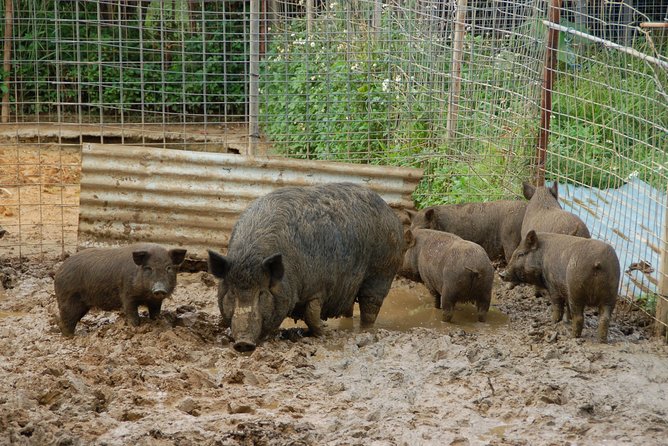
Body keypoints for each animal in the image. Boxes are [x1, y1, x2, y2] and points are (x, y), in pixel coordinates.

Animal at [52, 244, 185, 334]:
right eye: (148, 268)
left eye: (168, 267)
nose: (159, 289)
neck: (145, 295)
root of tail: (58, 272)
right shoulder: (127, 293)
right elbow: (131, 312)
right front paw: (135, 327)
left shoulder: (156, 301)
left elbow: (155, 312)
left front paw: (158, 322)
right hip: (68, 299)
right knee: (67, 320)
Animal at [207, 181, 402, 352]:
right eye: (232, 292)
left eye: (262, 293)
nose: (243, 343)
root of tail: (391, 213)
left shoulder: (317, 288)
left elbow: (312, 314)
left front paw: (323, 333)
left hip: (381, 273)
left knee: (370, 307)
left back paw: (364, 331)